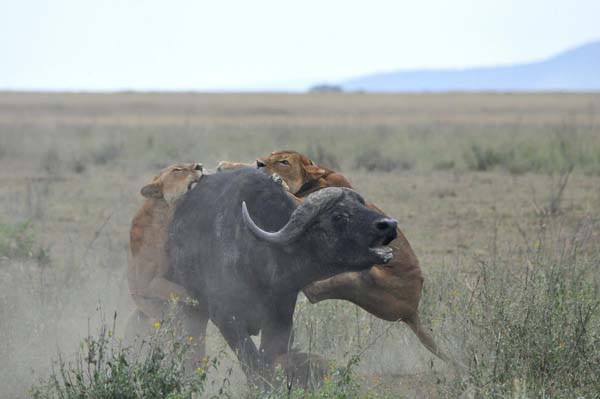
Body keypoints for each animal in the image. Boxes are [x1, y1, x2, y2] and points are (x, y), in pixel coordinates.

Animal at [166, 168, 396, 382]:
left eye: (362, 206)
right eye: (338, 216)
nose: (390, 225)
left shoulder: (280, 320)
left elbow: (268, 362)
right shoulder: (227, 319)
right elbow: (253, 365)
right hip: (190, 307)